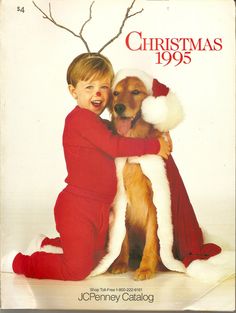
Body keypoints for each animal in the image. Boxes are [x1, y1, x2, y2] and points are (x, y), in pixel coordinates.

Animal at [107, 76, 171, 280]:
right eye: (115, 93)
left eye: (136, 92)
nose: (118, 107)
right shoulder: (122, 203)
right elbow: (122, 239)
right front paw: (120, 263)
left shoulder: (154, 203)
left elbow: (152, 239)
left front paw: (146, 268)